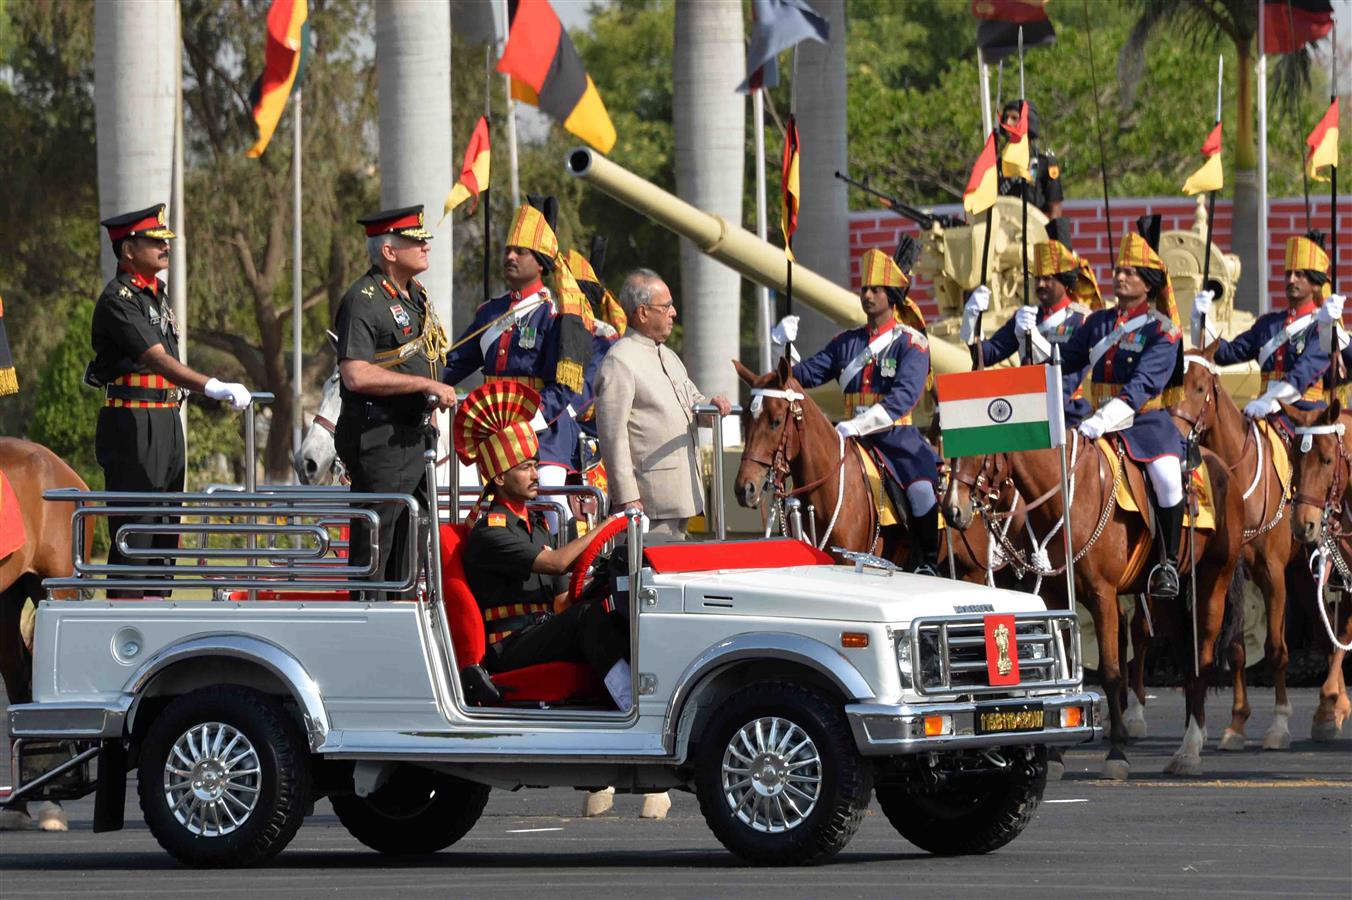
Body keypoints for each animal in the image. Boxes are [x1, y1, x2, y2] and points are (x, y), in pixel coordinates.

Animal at [946, 432, 1238, 772]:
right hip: (1168, 599)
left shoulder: (1103, 596)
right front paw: (1056, 755)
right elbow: (1063, 674)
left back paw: (1190, 748)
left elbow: (1111, 672)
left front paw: (1117, 753)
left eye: (979, 453)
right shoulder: (1056, 597)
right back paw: (1194, 738)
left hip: (1214, 579)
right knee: (1185, 653)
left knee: (1201, 656)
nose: (952, 510)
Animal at [1178, 343, 1303, 751]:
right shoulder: (1233, 571)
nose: (1177, 431)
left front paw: (1279, 726)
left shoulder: (1271, 572)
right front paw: (1235, 722)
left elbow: (1277, 648)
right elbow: (1236, 649)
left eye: (1201, 387)